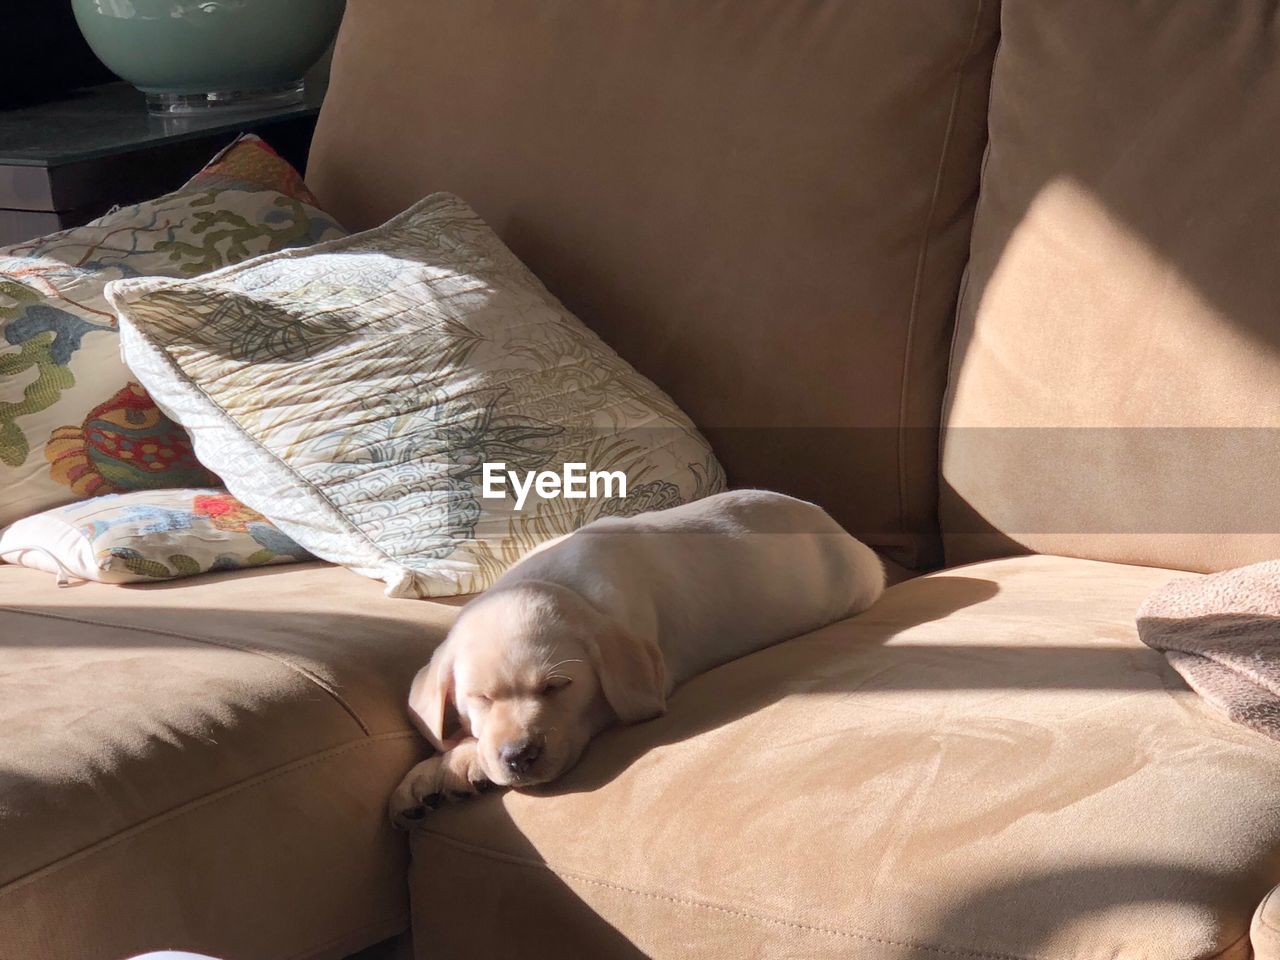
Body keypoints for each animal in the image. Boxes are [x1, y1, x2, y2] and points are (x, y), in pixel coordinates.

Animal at [389, 488, 885, 829]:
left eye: (557, 687)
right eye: (480, 698)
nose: (519, 756)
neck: (561, 584)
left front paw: (460, 762)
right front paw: (432, 770)